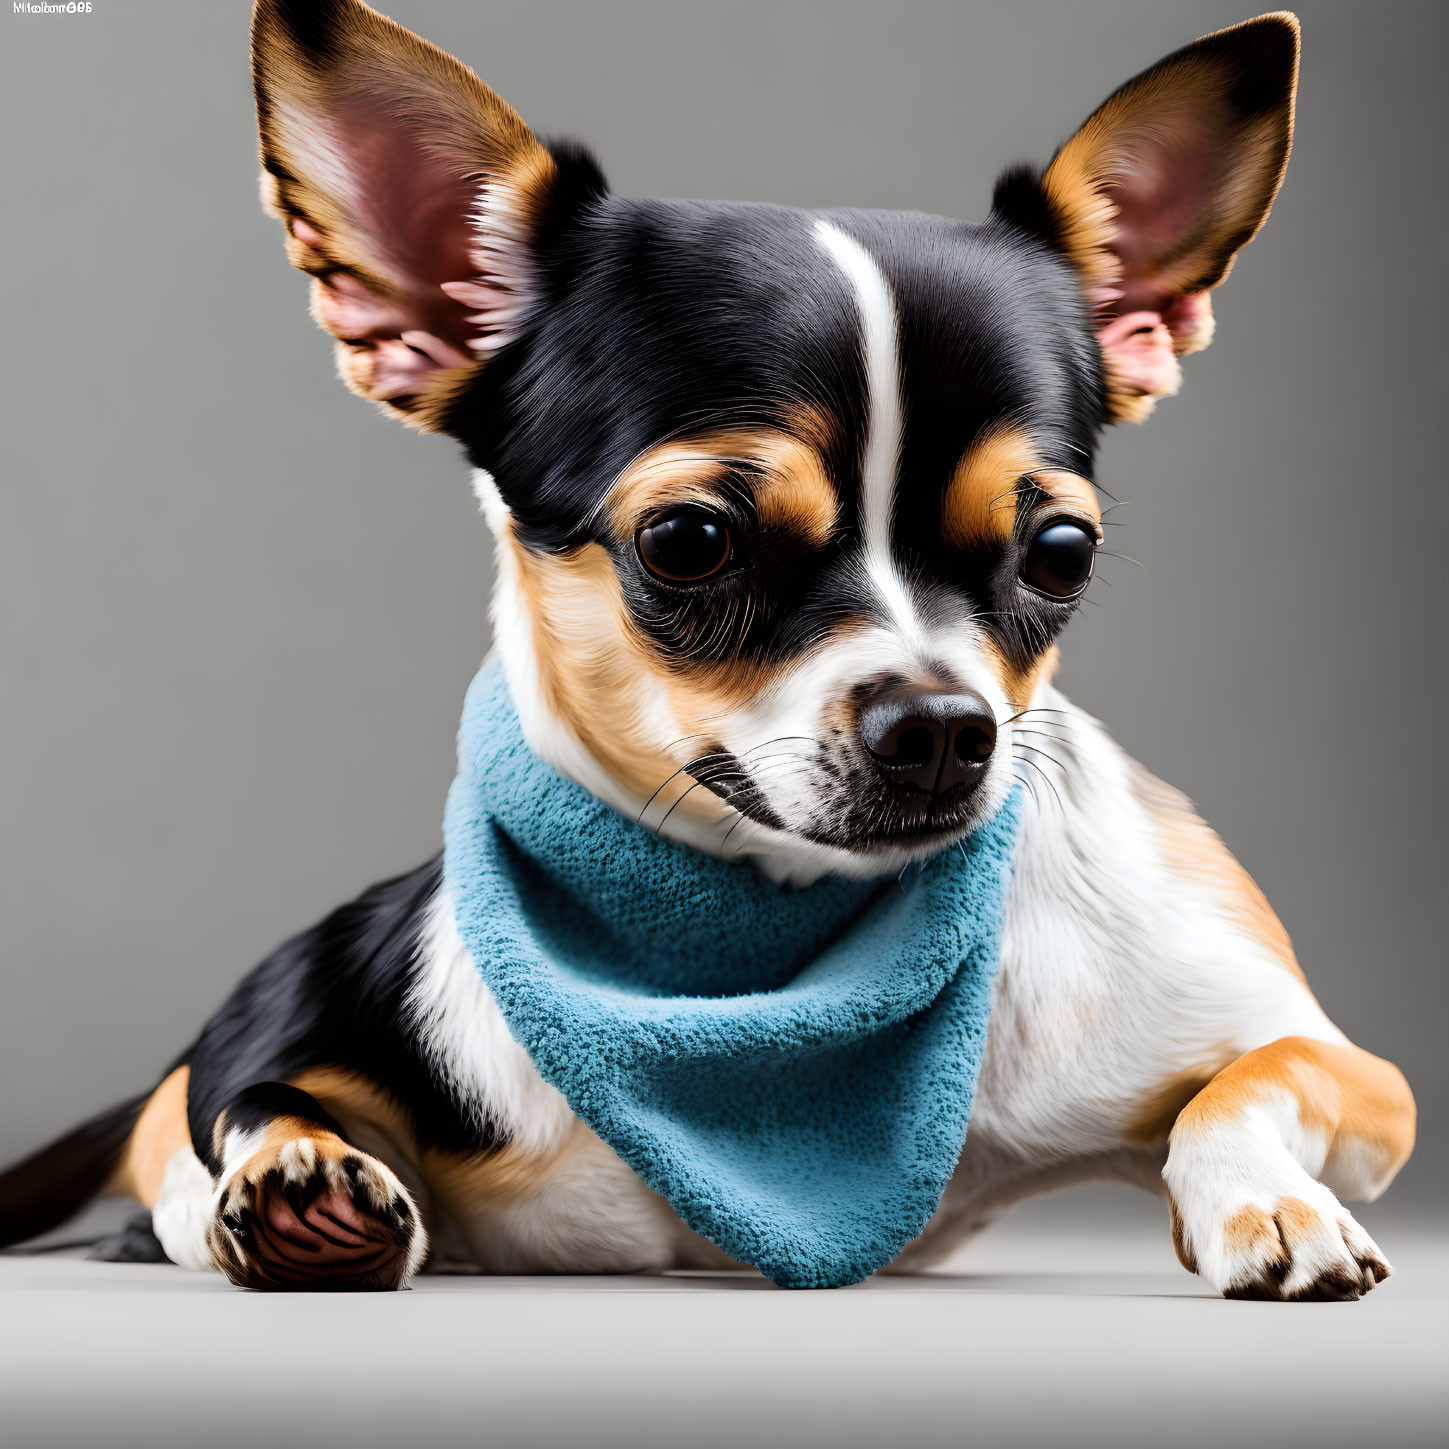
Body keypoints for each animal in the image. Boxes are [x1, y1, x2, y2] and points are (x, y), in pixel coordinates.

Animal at [0, 0, 1408, 1292]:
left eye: (1062, 553)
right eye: (689, 542)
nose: (944, 729)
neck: (766, 951)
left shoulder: (1349, 1067)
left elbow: (1243, 1081)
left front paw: (1266, 1203)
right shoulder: (297, 1014)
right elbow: (249, 1100)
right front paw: (300, 1175)